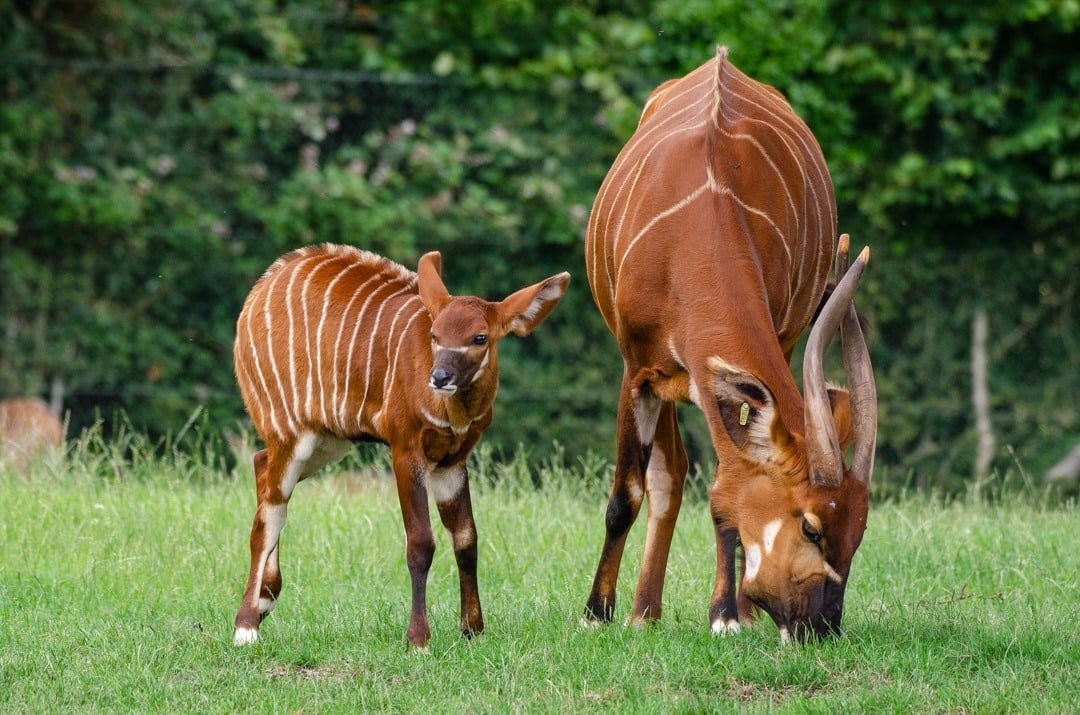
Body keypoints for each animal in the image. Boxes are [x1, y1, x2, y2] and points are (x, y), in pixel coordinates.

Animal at [232, 245, 570, 648]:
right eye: (435, 335)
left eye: (480, 338)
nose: (440, 377)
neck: (451, 411)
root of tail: (259, 291)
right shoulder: (407, 453)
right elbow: (421, 543)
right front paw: (418, 639)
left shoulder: (453, 462)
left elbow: (466, 539)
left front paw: (473, 630)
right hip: (292, 435)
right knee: (267, 518)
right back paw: (246, 626)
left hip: (326, 441)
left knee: (260, 463)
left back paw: (266, 600)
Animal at [583, 50, 876, 643]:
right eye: (811, 527)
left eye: (857, 535)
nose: (821, 627)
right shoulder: (637, 369)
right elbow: (628, 491)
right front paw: (596, 612)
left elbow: (726, 487)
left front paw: (727, 613)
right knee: (668, 473)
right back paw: (642, 610)